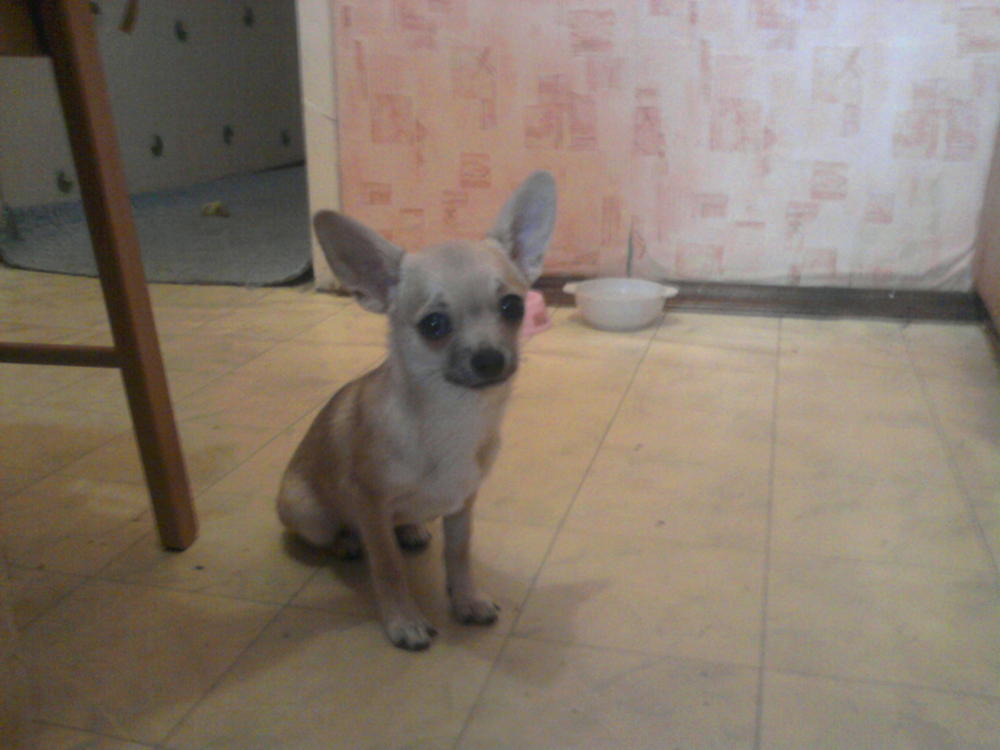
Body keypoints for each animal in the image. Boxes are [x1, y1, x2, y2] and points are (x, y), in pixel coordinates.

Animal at [277, 172, 556, 650]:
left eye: (512, 307)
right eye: (433, 325)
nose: (489, 359)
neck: (454, 417)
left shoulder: (463, 503)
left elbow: (459, 554)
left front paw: (467, 599)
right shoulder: (370, 504)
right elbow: (387, 569)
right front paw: (403, 620)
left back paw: (408, 528)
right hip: (306, 511)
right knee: (326, 535)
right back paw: (345, 543)